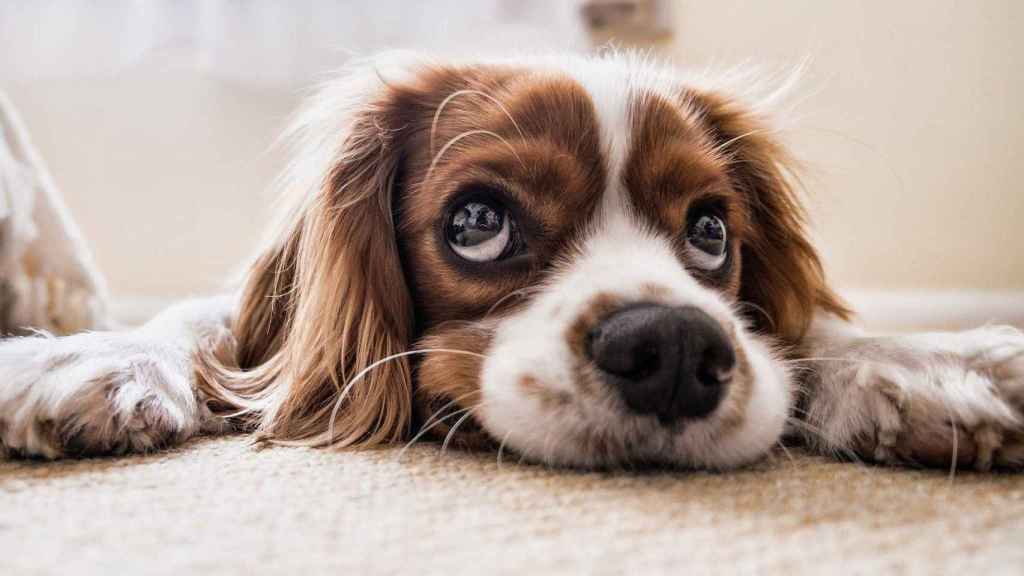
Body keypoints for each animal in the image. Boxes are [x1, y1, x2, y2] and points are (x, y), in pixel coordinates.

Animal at [2, 51, 1024, 469]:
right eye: (478, 222)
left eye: (711, 232)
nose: (675, 349)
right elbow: (203, 323)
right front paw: (90, 357)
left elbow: (809, 333)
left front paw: (925, 364)